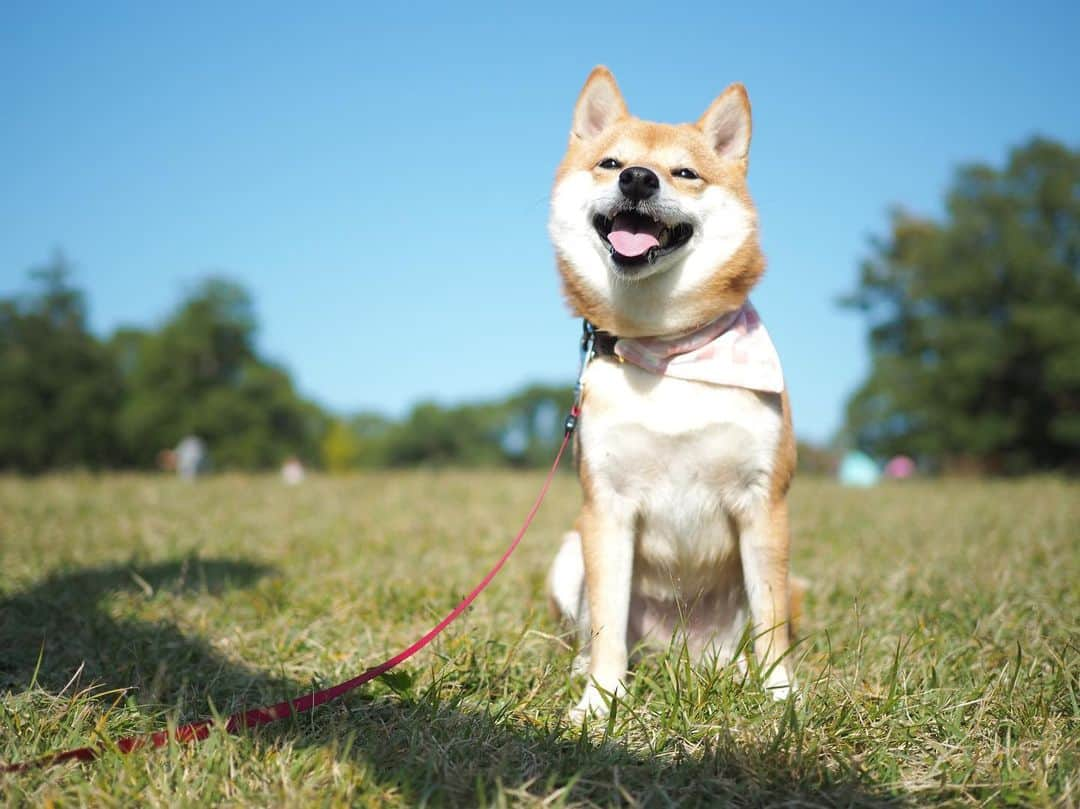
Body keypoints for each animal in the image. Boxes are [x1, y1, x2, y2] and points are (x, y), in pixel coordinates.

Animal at [548, 66, 803, 717]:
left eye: (685, 173)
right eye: (611, 163)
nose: (639, 178)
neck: (667, 349)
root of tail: (677, 656)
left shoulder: (764, 503)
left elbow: (770, 623)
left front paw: (781, 698)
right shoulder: (606, 509)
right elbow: (607, 623)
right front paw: (599, 703)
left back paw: (736, 675)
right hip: (570, 553)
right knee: (592, 630)